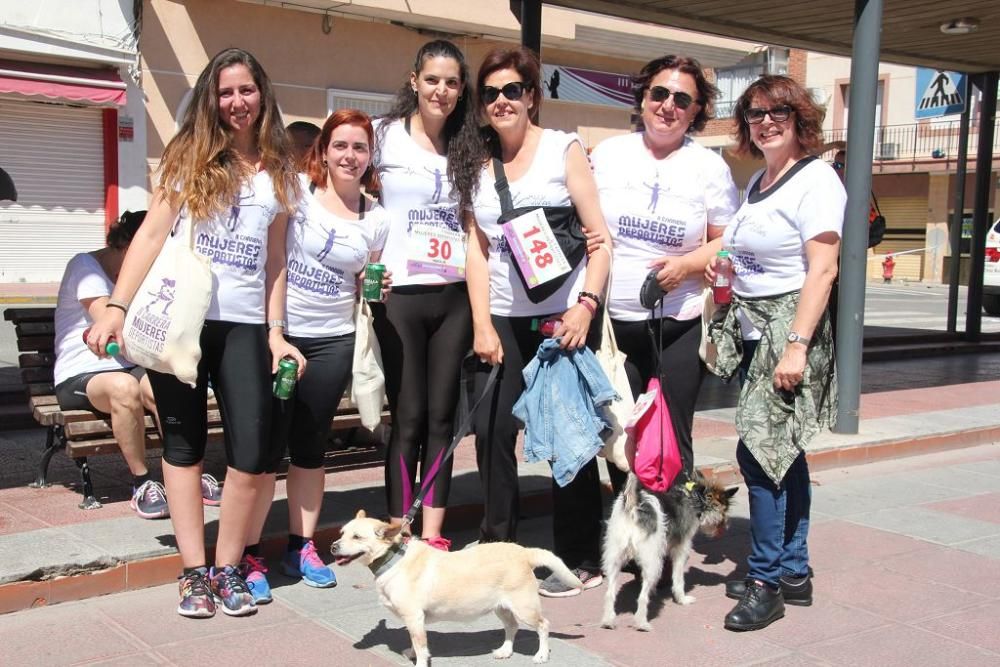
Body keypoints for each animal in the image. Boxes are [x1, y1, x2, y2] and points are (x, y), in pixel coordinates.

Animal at [332, 508, 584, 664]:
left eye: (357, 537)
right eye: (341, 533)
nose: (333, 546)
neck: (394, 558)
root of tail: (524, 552)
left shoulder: (414, 617)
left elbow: (421, 647)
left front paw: (419, 661)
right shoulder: (414, 622)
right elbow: (414, 641)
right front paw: (411, 653)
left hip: (525, 608)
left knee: (543, 625)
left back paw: (541, 655)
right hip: (502, 608)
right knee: (512, 627)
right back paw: (505, 651)